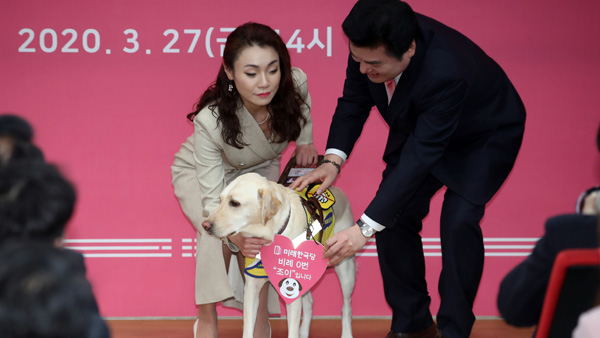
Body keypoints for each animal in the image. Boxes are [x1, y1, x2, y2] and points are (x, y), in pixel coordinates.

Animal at [202, 173, 354, 338]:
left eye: (235, 203)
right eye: (220, 200)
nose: (205, 225)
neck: (271, 235)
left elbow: (292, 330)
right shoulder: (251, 287)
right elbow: (248, 327)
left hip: (345, 269)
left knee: (346, 307)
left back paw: (346, 333)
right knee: (309, 303)